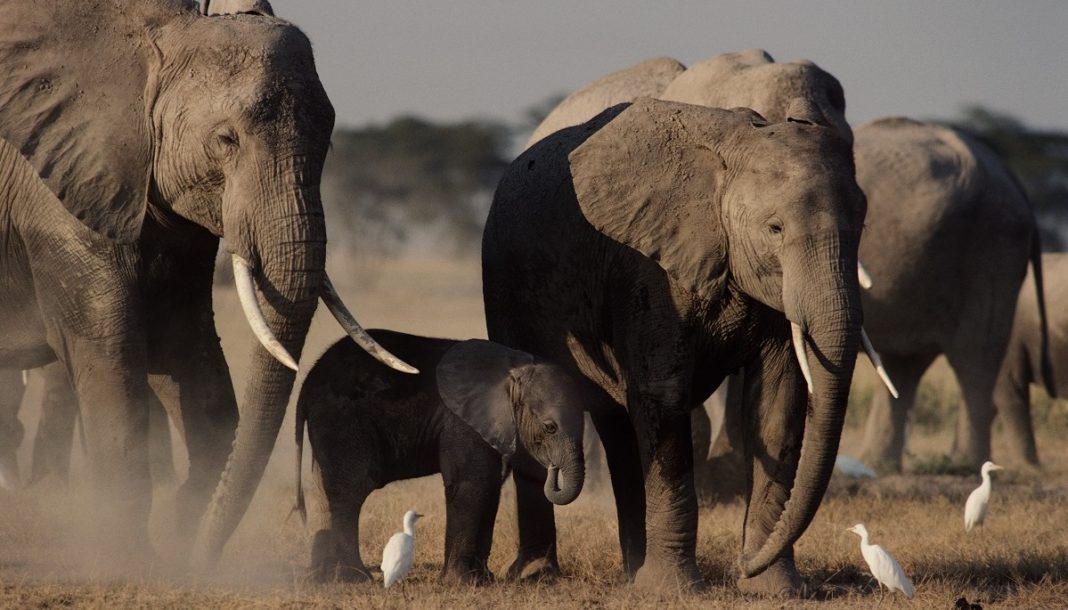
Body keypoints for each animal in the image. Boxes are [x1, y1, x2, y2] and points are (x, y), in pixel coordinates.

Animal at [0, 0, 412, 564]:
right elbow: (111, 356)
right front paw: (133, 561)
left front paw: (183, 535)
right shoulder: (59, 193)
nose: (201, 556)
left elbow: (190, 357)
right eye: (225, 140)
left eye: (328, 140)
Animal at [296, 329, 589, 581]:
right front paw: (460, 583)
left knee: (323, 489)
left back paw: (323, 577)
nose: (552, 469)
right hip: (342, 419)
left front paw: (483, 581)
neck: (513, 370)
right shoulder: (462, 421)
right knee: (350, 489)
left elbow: (491, 486)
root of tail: (306, 385)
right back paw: (354, 578)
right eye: (550, 427)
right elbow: (472, 483)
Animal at [484, 98, 867, 593]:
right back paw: (539, 574)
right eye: (775, 229)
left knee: (619, 428)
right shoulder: (648, 270)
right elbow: (663, 398)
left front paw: (774, 589)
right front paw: (676, 590)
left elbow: (779, 402)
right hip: (504, 284)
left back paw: (633, 574)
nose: (743, 564)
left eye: (863, 225)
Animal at [854, 118, 1046, 472]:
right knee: (905, 364)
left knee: (974, 357)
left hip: (992, 246)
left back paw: (965, 465)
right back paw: (878, 466)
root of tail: (1009, 172)